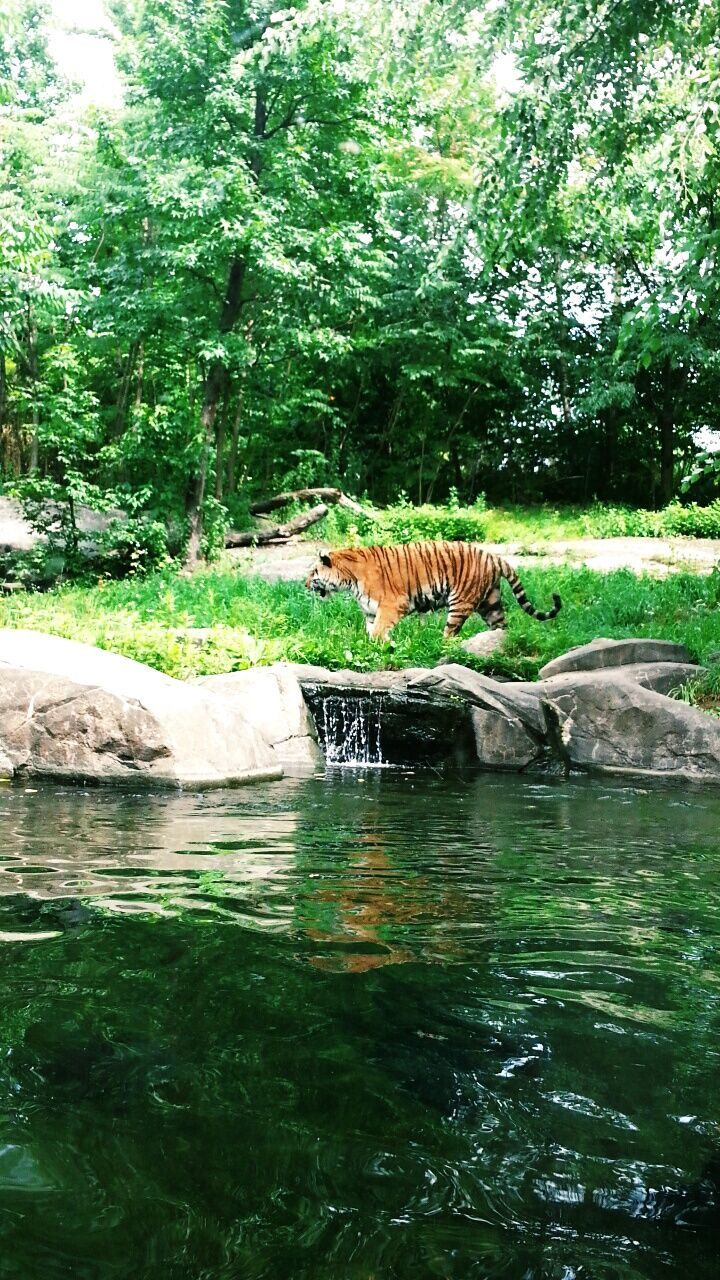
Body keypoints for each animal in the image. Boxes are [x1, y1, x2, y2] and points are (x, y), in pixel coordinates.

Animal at [302, 540, 561, 640]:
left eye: (313, 572)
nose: (304, 585)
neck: (349, 579)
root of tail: (492, 556)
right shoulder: (370, 612)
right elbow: (371, 632)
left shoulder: (392, 605)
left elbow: (378, 631)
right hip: (491, 603)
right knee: (501, 627)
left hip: (460, 602)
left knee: (450, 634)